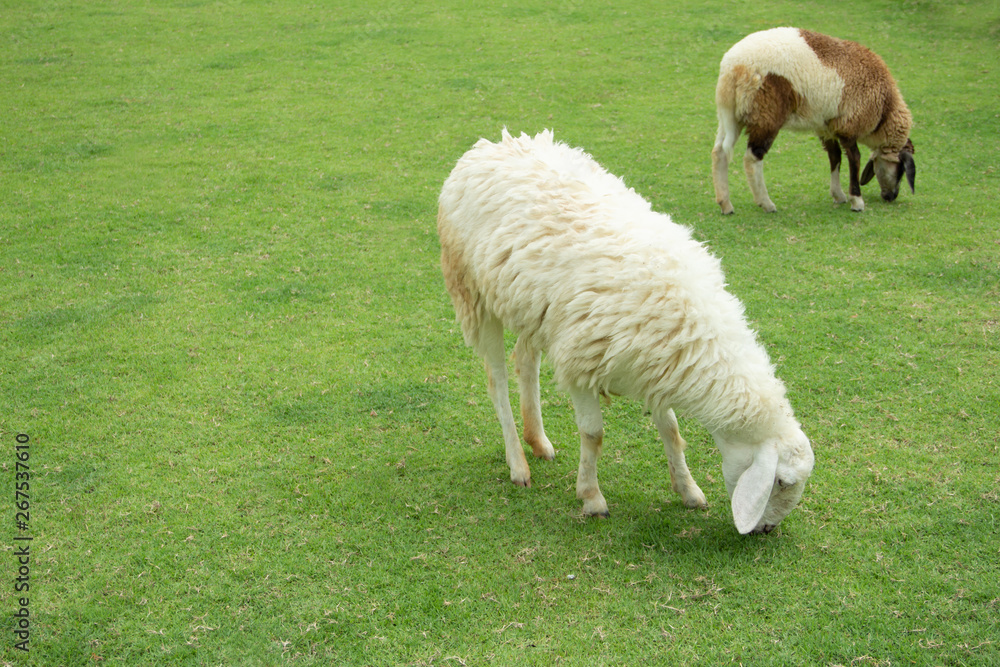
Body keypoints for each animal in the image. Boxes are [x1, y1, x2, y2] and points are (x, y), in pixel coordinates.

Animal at [437, 129, 814, 534]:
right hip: (473, 292)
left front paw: (688, 490)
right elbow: (593, 434)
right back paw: (518, 464)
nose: (766, 530)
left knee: (525, 360)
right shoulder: (581, 364)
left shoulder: (658, 366)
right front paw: (591, 498)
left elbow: (671, 430)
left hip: (533, 308)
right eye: (781, 481)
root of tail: (490, 145)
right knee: (497, 380)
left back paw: (538, 441)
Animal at [712, 27, 916, 213]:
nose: (891, 197)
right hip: (765, 115)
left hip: (730, 115)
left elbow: (835, 156)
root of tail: (734, 67)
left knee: (719, 152)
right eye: (901, 170)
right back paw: (766, 203)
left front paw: (838, 195)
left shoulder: (827, 127)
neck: (884, 109)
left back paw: (725, 204)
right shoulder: (849, 125)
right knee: (752, 157)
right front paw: (857, 201)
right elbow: (854, 158)